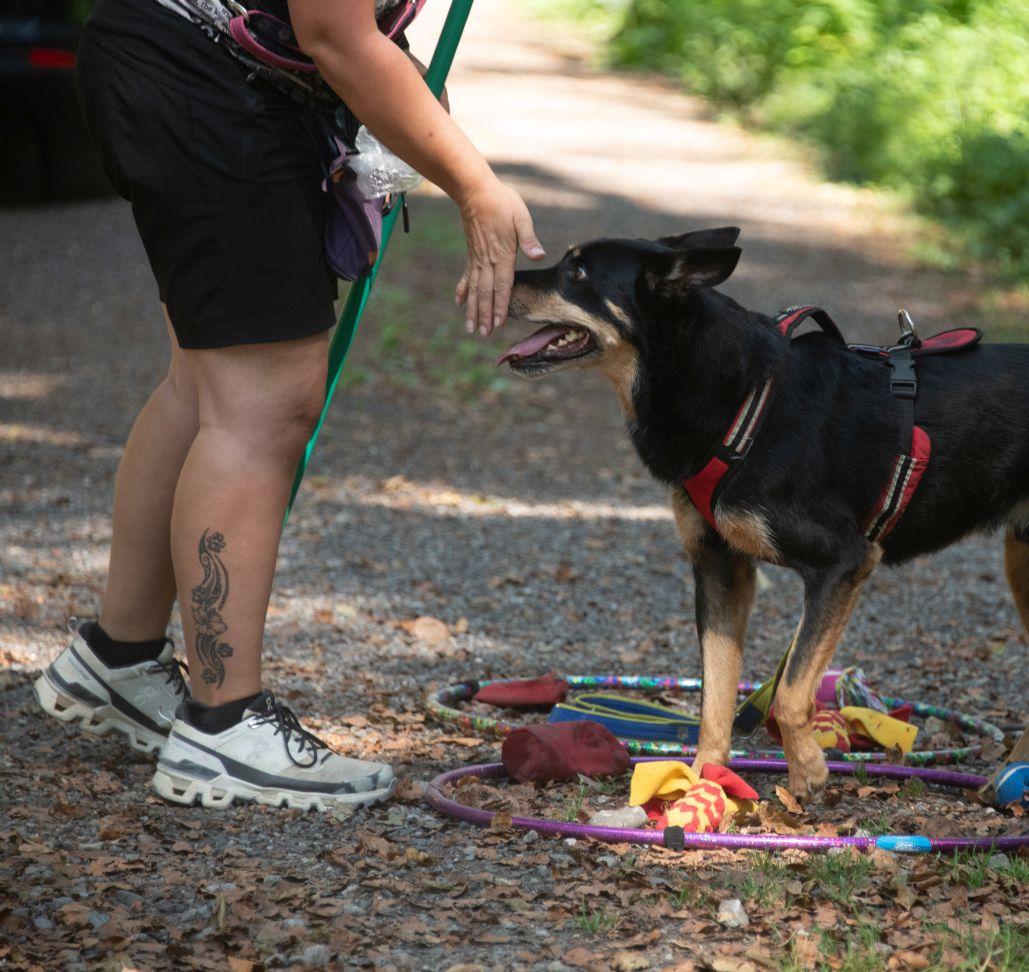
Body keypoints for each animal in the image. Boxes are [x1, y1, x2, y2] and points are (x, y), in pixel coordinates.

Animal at [493, 227, 1024, 798]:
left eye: (578, 272)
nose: (500, 281)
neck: (744, 397)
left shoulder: (843, 563)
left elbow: (790, 692)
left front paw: (808, 770)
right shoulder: (720, 569)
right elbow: (715, 697)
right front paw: (704, 783)